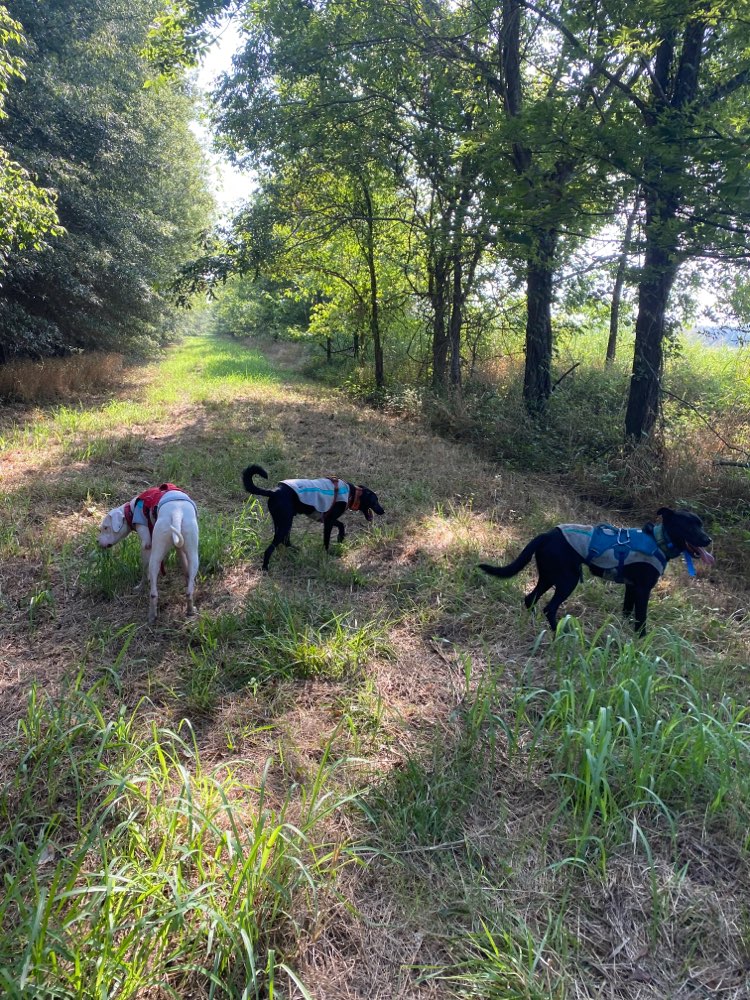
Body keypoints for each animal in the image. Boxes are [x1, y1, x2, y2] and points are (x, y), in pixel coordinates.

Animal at [97, 484, 200, 624]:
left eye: (106, 528)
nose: (97, 542)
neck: (131, 510)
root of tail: (176, 513)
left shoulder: (146, 545)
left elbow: (144, 573)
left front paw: (140, 587)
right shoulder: (179, 549)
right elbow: (186, 571)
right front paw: (188, 580)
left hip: (154, 558)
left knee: (153, 593)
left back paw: (152, 616)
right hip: (193, 553)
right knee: (189, 590)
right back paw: (190, 609)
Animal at [242, 462, 384, 568]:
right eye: (375, 501)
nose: (383, 511)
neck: (352, 493)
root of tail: (274, 491)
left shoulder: (327, 519)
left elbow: (341, 525)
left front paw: (340, 538)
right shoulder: (328, 521)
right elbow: (327, 540)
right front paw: (327, 553)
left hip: (282, 522)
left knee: (285, 541)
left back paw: (297, 550)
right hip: (285, 522)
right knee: (271, 548)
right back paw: (265, 567)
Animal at [482, 508, 716, 632]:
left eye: (701, 524)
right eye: (689, 526)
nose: (708, 539)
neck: (659, 541)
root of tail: (547, 534)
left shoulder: (631, 588)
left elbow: (627, 613)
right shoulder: (643, 590)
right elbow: (641, 620)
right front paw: (641, 642)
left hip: (549, 576)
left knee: (530, 598)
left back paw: (531, 624)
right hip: (568, 580)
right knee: (549, 608)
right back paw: (561, 633)